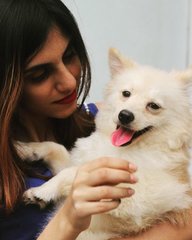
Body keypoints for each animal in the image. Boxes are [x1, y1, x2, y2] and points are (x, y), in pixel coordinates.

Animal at [17, 49, 192, 240]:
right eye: (126, 94)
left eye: (153, 106)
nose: (125, 115)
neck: (120, 150)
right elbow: (59, 150)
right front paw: (27, 149)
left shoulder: (138, 199)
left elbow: (74, 173)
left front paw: (41, 191)